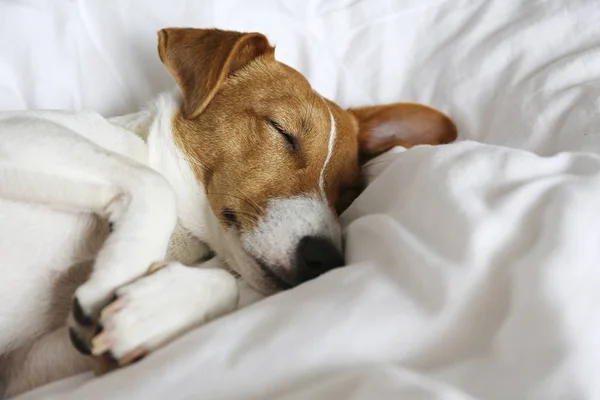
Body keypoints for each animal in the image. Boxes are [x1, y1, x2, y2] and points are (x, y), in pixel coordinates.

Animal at [0, 28, 454, 396]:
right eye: (282, 131)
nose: (323, 260)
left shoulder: (28, 363)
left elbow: (225, 283)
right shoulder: (20, 137)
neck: (181, 241)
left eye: (349, 192)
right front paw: (113, 276)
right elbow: (153, 184)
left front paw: (154, 310)